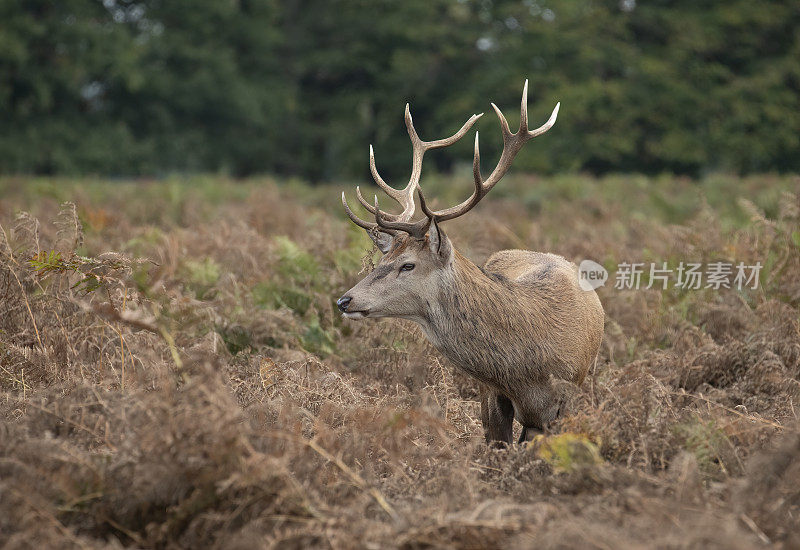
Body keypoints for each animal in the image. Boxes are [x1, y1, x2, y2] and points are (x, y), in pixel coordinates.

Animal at [334, 80, 604, 446]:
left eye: (408, 265)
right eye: (382, 259)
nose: (344, 300)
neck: (527, 373)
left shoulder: (562, 406)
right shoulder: (491, 395)